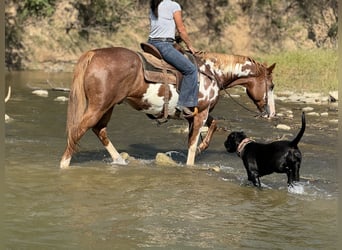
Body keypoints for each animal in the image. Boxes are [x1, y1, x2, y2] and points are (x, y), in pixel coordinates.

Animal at [60, 46, 276, 169]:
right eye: (272, 86)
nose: (271, 113)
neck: (212, 73)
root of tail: (93, 54)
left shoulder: (197, 114)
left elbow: (213, 125)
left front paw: (203, 146)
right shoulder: (200, 114)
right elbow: (191, 145)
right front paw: (192, 161)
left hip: (109, 106)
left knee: (99, 130)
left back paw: (120, 161)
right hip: (99, 106)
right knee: (78, 131)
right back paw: (64, 164)